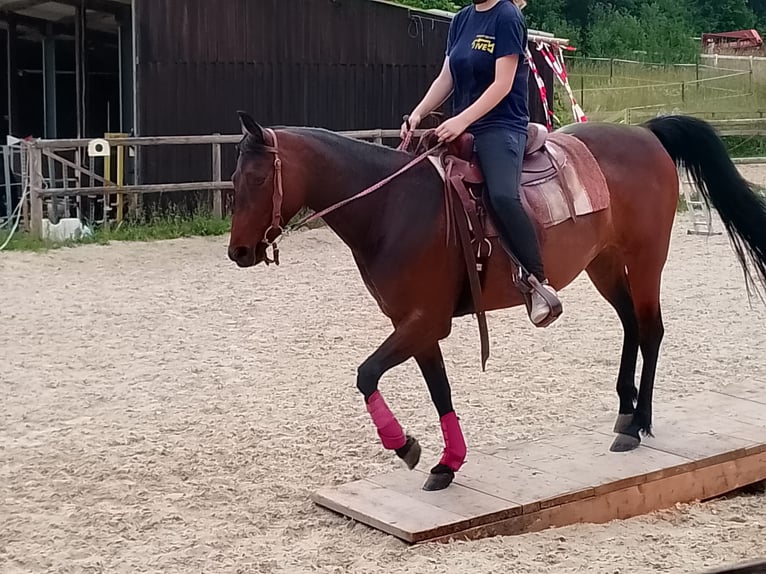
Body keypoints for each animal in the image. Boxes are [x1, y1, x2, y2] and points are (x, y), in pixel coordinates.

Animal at [227, 111, 766, 491]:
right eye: (233, 180)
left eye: (258, 180)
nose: (239, 252)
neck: (392, 207)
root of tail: (646, 134)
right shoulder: (417, 325)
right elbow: (439, 391)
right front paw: (446, 462)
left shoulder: (424, 321)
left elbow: (366, 374)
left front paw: (404, 446)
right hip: (604, 263)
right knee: (631, 326)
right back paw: (625, 410)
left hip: (647, 258)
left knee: (651, 330)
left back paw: (639, 425)